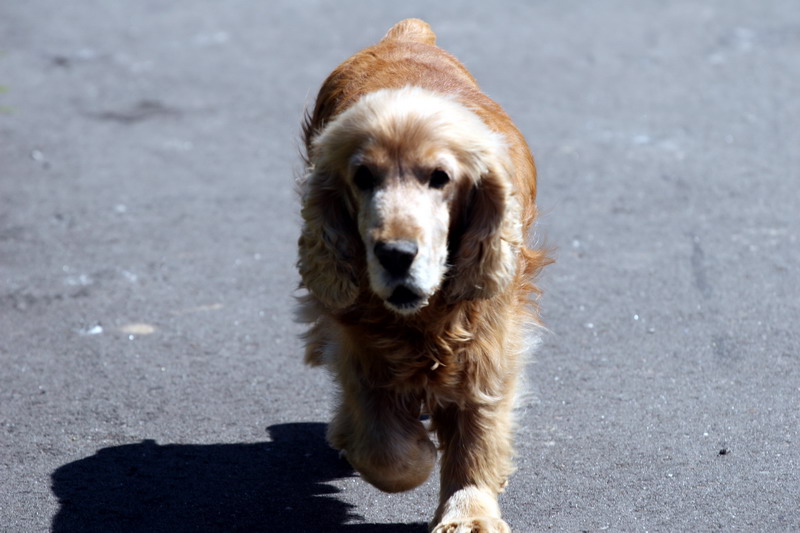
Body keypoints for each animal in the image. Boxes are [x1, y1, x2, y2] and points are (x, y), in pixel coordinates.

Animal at [296, 18, 552, 532]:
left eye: (440, 177)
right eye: (363, 178)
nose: (396, 254)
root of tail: (406, 35)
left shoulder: (487, 342)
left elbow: (478, 431)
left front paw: (470, 512)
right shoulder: (359, 343)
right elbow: (387, 452)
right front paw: (416, 451)